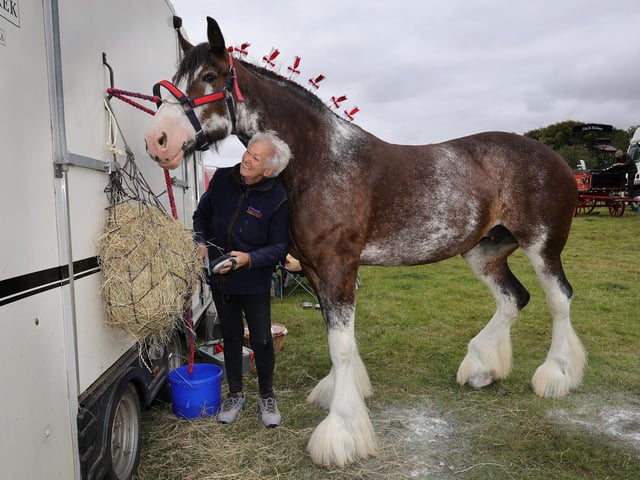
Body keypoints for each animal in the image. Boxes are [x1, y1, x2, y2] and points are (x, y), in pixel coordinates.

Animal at [144, 17, 586, 467]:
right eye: (175, 81)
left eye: (209, 77)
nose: (157, 140)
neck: (321, 160)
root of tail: (557, 160)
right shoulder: (316, 270)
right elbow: (338, 340)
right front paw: (340, 395)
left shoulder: (339, 266)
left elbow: (340, 346)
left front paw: (340, 433)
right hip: (484, 251)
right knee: (513, 298)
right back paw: (482, 368)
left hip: (541, 246)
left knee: (558, 299)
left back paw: (557, 376)